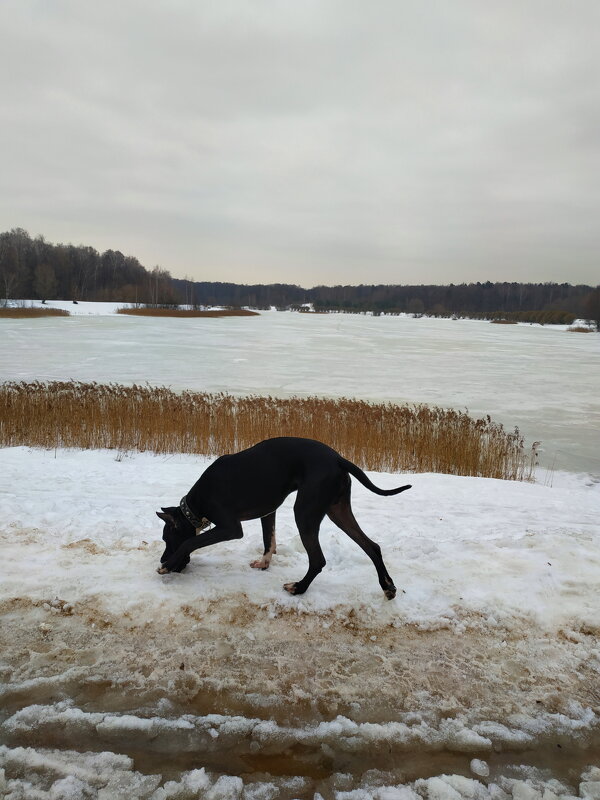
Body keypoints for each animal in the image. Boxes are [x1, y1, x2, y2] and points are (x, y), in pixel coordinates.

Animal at [157, 438, 410, 600]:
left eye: (166, 539)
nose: (162, 558)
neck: (195, 503)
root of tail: (338, 458)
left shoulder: (231, 528)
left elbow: (192, 541)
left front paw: (166, 566)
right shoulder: (268, 512)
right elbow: (268, 540)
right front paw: (264, 563)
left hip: (305, 513)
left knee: (318, 560)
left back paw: (298, 588)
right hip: (338, 511)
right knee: (372, 546)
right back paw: (388, 586)